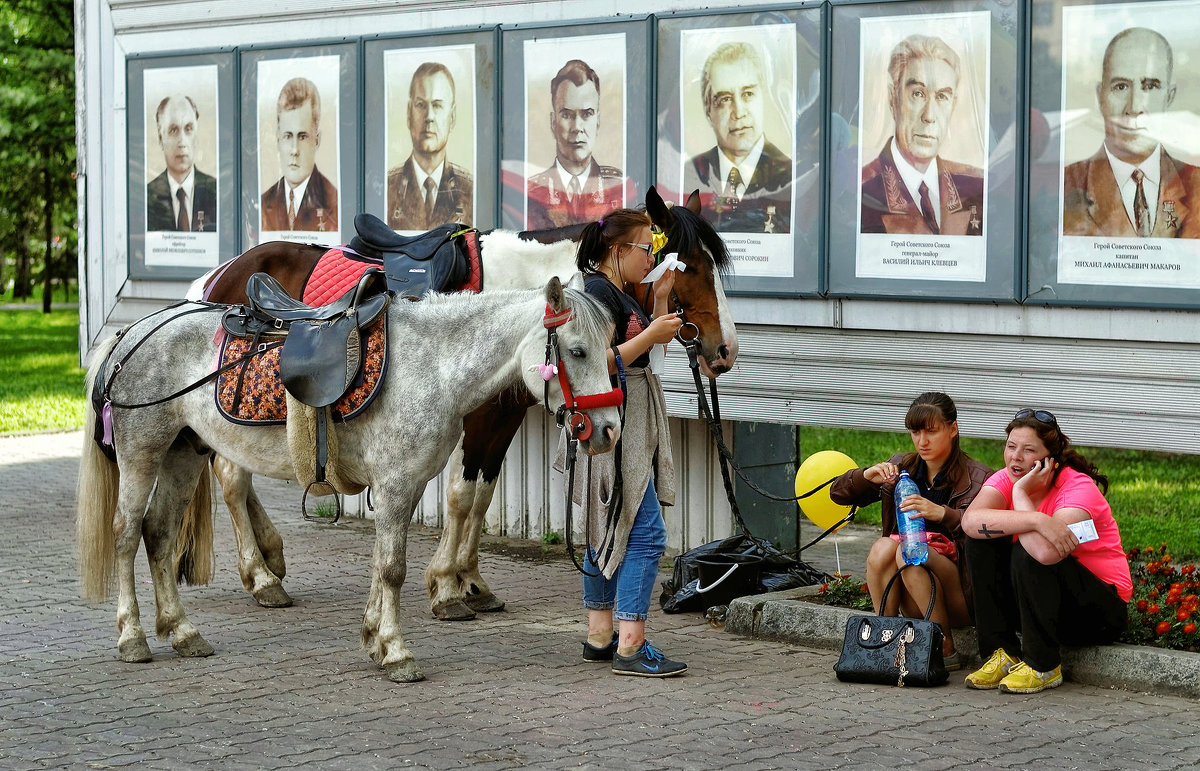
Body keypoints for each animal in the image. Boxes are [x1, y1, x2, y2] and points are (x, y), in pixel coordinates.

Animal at [187, 186, 734, 619]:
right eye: (692, 267)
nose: (724, 349)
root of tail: (220, 274)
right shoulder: (477, 416)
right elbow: (460, 495)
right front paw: (447, 588)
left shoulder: (504, 415)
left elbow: (483, 495)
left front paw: (470, 582)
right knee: (232, 479)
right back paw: (261, 576)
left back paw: (271, 556)